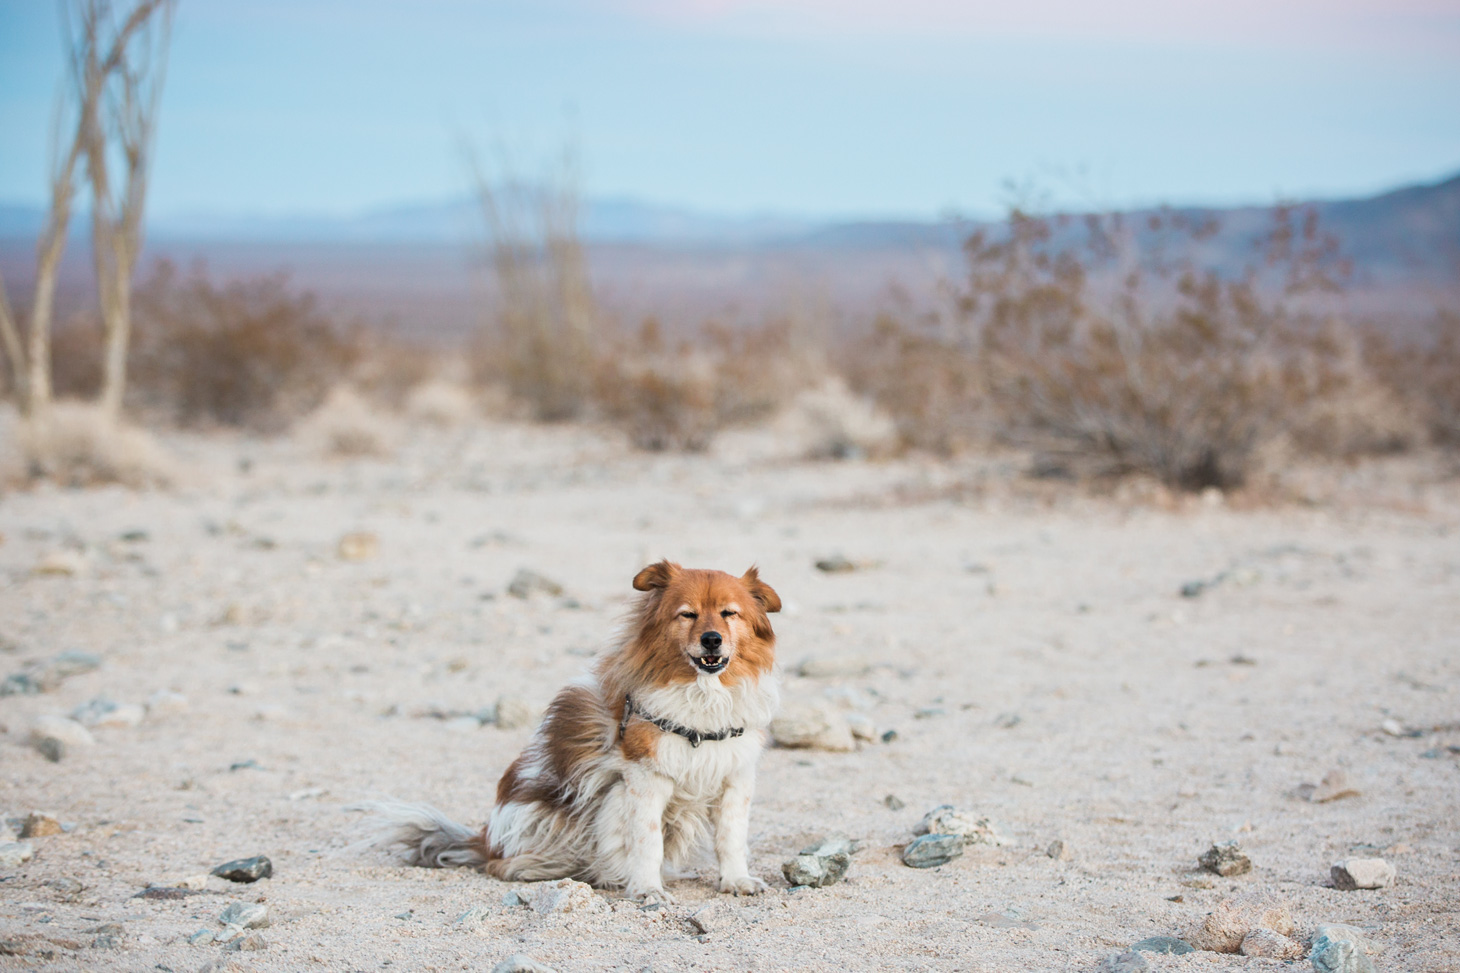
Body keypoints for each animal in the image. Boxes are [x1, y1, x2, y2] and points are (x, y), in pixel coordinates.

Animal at [370, 561, 782, 899]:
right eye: (688, 614)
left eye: (729, 614)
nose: (712, 639)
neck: (703, 697)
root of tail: (485, 838)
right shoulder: (645, 779)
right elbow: (646, 841)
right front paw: (647, 889)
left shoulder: (735, 778)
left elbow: (731, 838)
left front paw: (736, 880)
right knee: (500, 864)